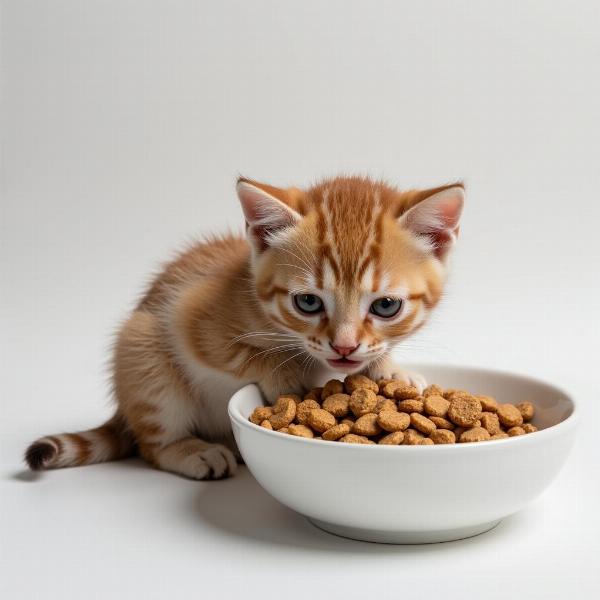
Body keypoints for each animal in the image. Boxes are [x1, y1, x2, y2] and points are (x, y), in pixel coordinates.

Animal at [24, 173, 464, 478]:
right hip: (143, 354)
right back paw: (193, 451)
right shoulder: (189, 315)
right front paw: (284, 373)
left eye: (386, 306)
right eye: (308, 302)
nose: (343, 347)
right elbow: (239, 352)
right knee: (152, 443)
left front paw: (391, 370)